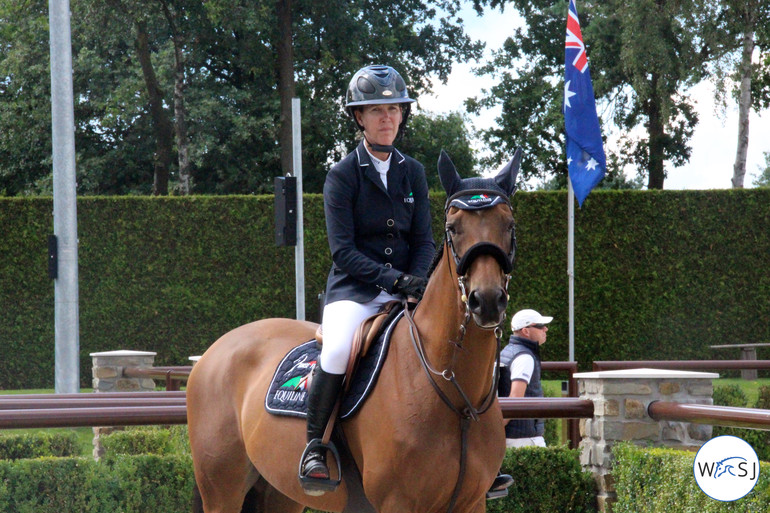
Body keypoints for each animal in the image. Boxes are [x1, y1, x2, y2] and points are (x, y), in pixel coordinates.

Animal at [188, 149, 520, 512]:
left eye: (509, 225)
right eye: (453, 228)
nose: (486, 301)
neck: (455, 394)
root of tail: (215, 350)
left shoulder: (471, 503)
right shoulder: (397, 503)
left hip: (279, 491)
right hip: (222, 490)